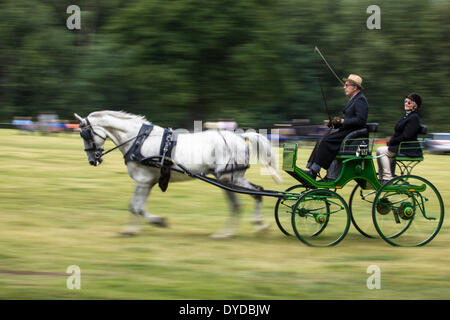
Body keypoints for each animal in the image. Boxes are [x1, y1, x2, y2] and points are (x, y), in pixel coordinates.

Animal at [75, 110, 284, 238]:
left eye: (85, 135)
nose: (93, 160)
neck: (138, 140)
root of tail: (240, 137)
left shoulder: (142, 181)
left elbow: (136, 207)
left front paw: (154, 223)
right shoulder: (147, 182)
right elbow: (137, 206)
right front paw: (136, 228)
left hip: (230, 178)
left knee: (252, 195)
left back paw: (250, 226)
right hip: (229, 179)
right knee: (246, 199)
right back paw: (234, 231)